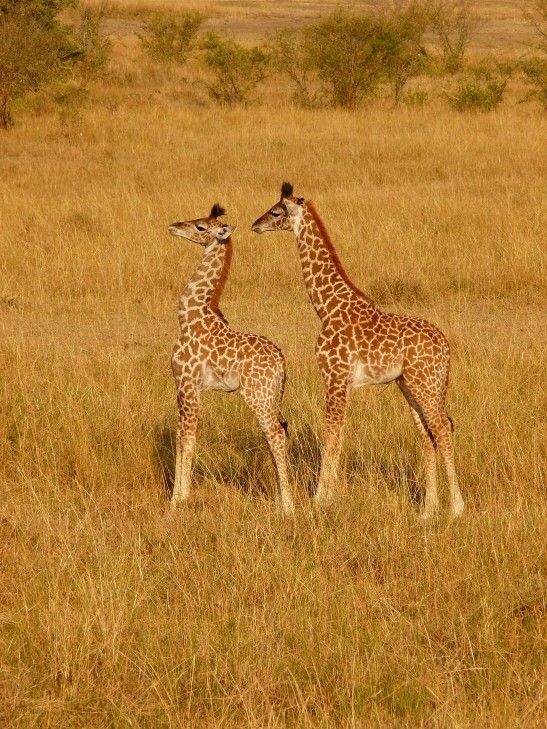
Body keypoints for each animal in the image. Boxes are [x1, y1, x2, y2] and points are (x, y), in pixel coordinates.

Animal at [168, 203, 294, 515]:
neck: (189, 317)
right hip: (269, 396)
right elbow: (182, 436)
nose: (174, 226)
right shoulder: (184, 388)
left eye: (200, 226)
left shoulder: (187, 384)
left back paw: (288, 505)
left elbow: (186, 438)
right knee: (275, 434)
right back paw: (278, 498)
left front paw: (178, 499)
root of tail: (282, 362)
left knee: (276, 434)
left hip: (257, 395)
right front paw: (180, 495)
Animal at [252, 183, 464, 519]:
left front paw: (320, 499)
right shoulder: (343, 383)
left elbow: (331, 435)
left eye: (275, 212)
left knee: (442, 427)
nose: (255, 225)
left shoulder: (335, 377)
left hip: (425, 383)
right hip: (410, 385)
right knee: (426, 433)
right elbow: (337, 435)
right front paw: (328, 496)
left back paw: (456, 508)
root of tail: (446, 347)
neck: (327, 307)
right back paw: (428, 510)